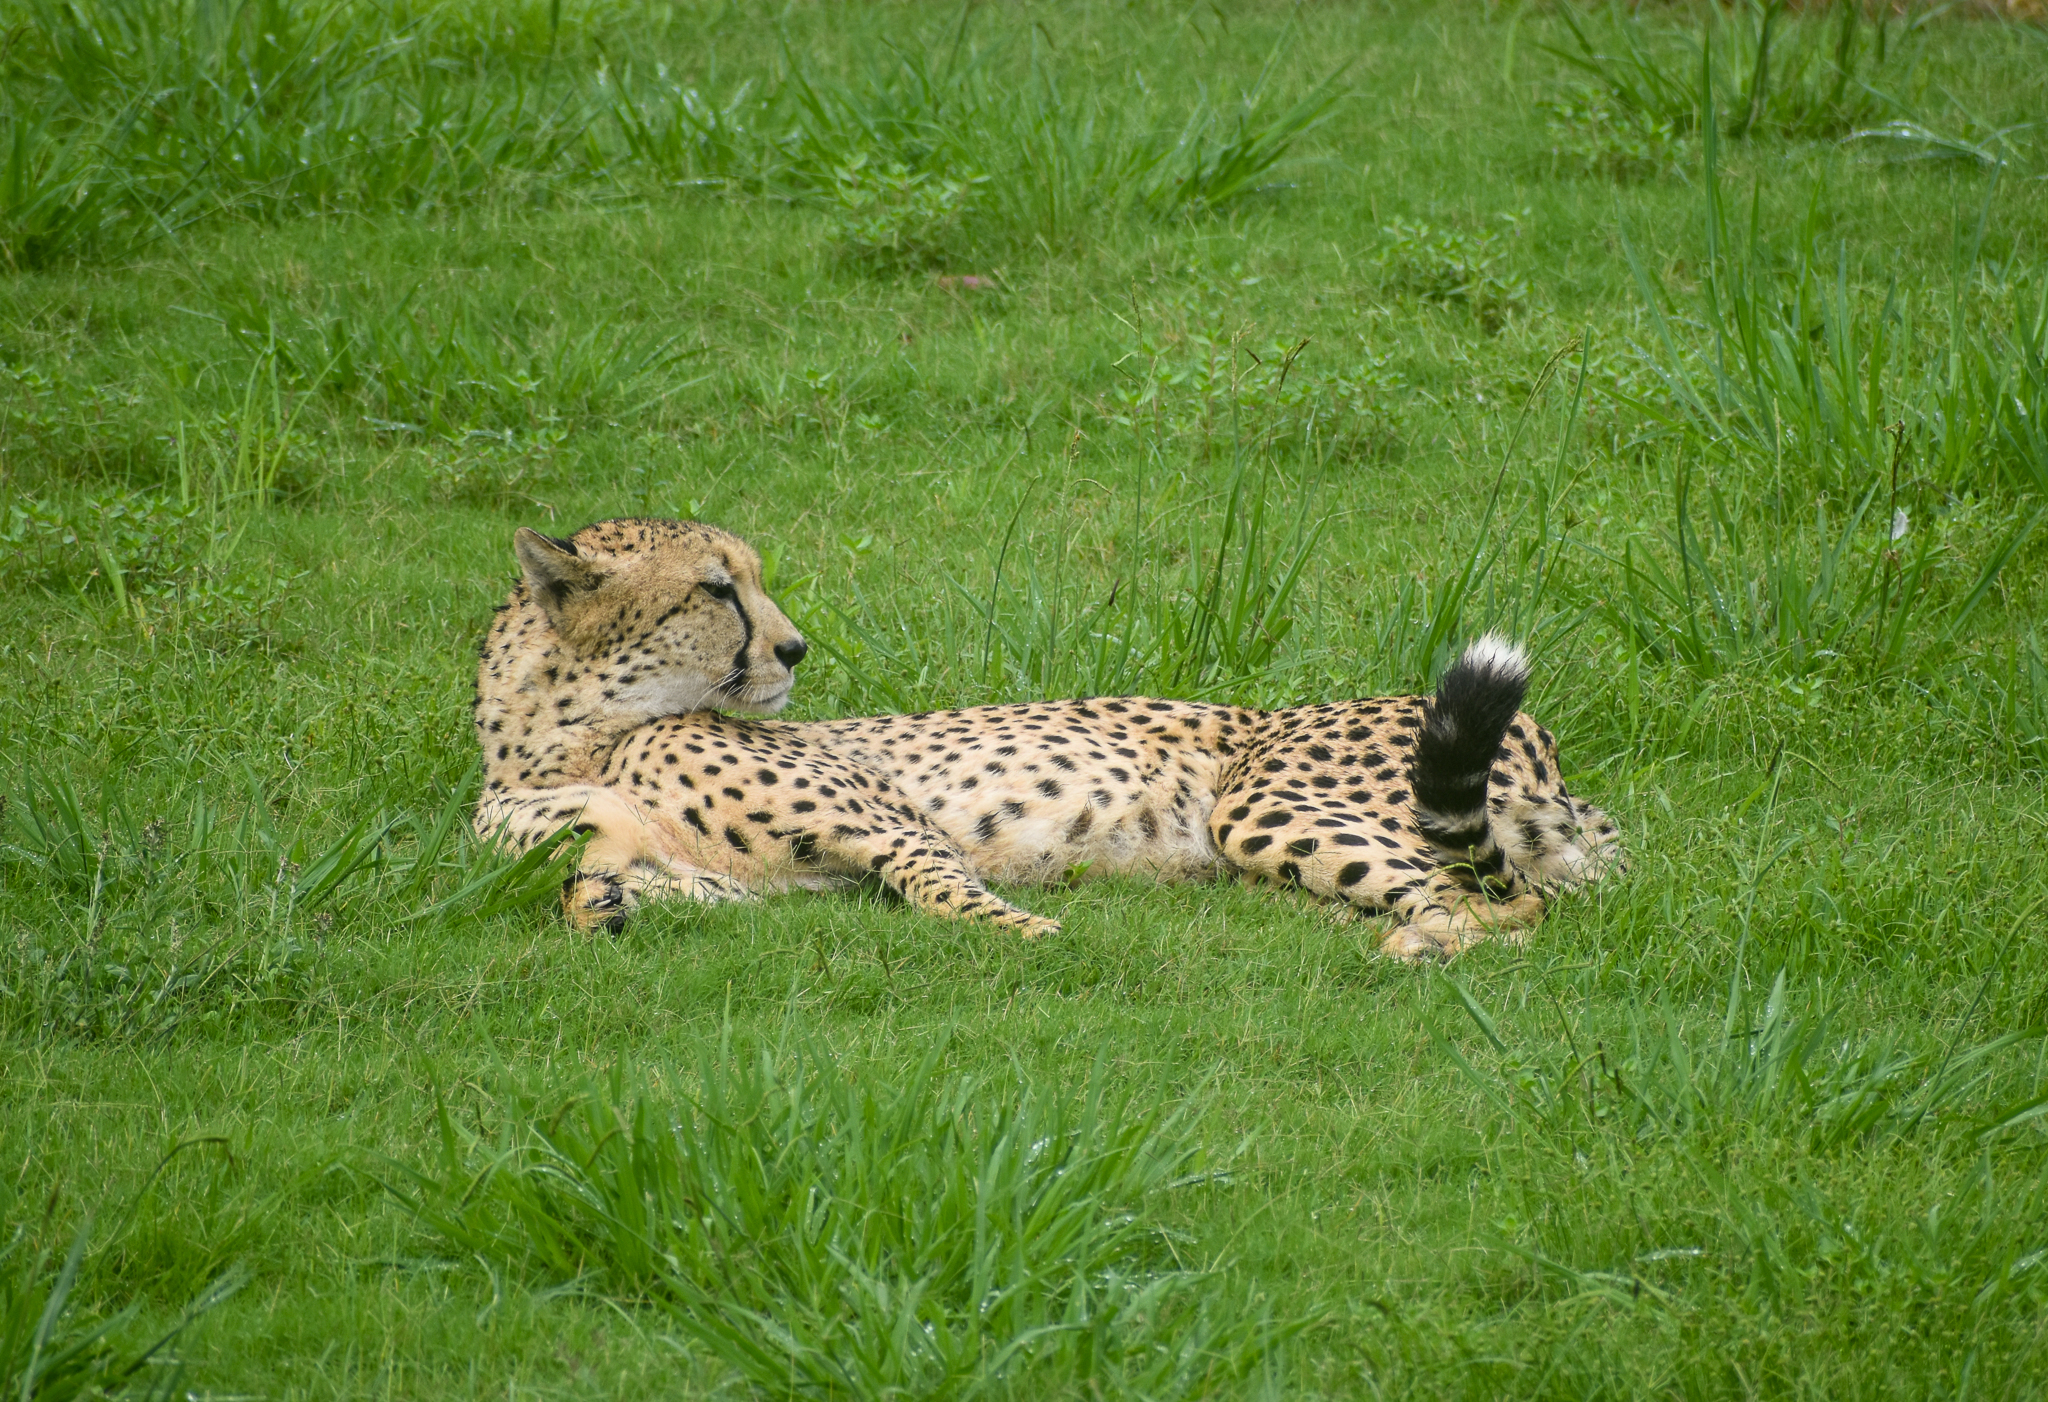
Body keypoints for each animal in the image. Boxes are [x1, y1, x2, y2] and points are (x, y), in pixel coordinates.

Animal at [473, 517, 1621, 959]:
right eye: (717, 589)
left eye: (745, 579)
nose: (795, 649)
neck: (565, 740)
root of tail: (1554, 756)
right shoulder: (714, 881)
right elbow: (592, 880)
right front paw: (598, 900)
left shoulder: (899, 830)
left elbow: (947, 890)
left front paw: (1039, 935)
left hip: (1260, 800)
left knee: (1506, 910)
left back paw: (1417, 944)